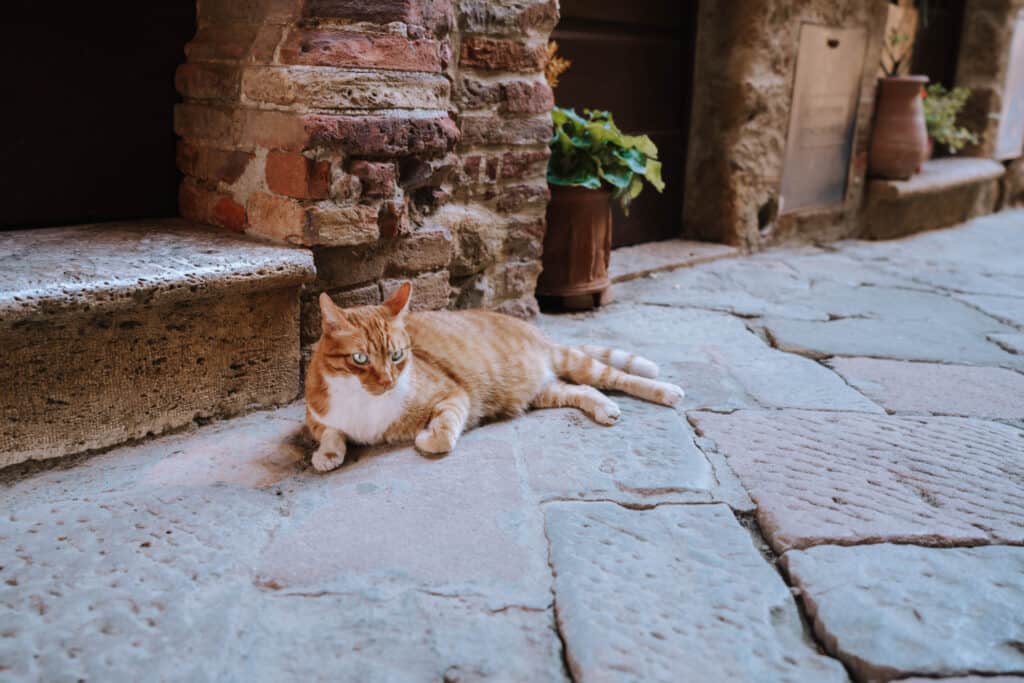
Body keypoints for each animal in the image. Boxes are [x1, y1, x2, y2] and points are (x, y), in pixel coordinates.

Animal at [305, 282, 688, 471]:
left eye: (397, 356)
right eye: (360, 359)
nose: (387, 382)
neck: (363, 403)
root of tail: (535, 331)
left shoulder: (454, 394)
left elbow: (444, 433)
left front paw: (426, 438)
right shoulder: (316, 417)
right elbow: (332, 433)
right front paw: (328, 455)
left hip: (573, 362)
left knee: (615, 377)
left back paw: (666, 389)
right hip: (545, 391)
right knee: (582, 390)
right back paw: (605, 408)